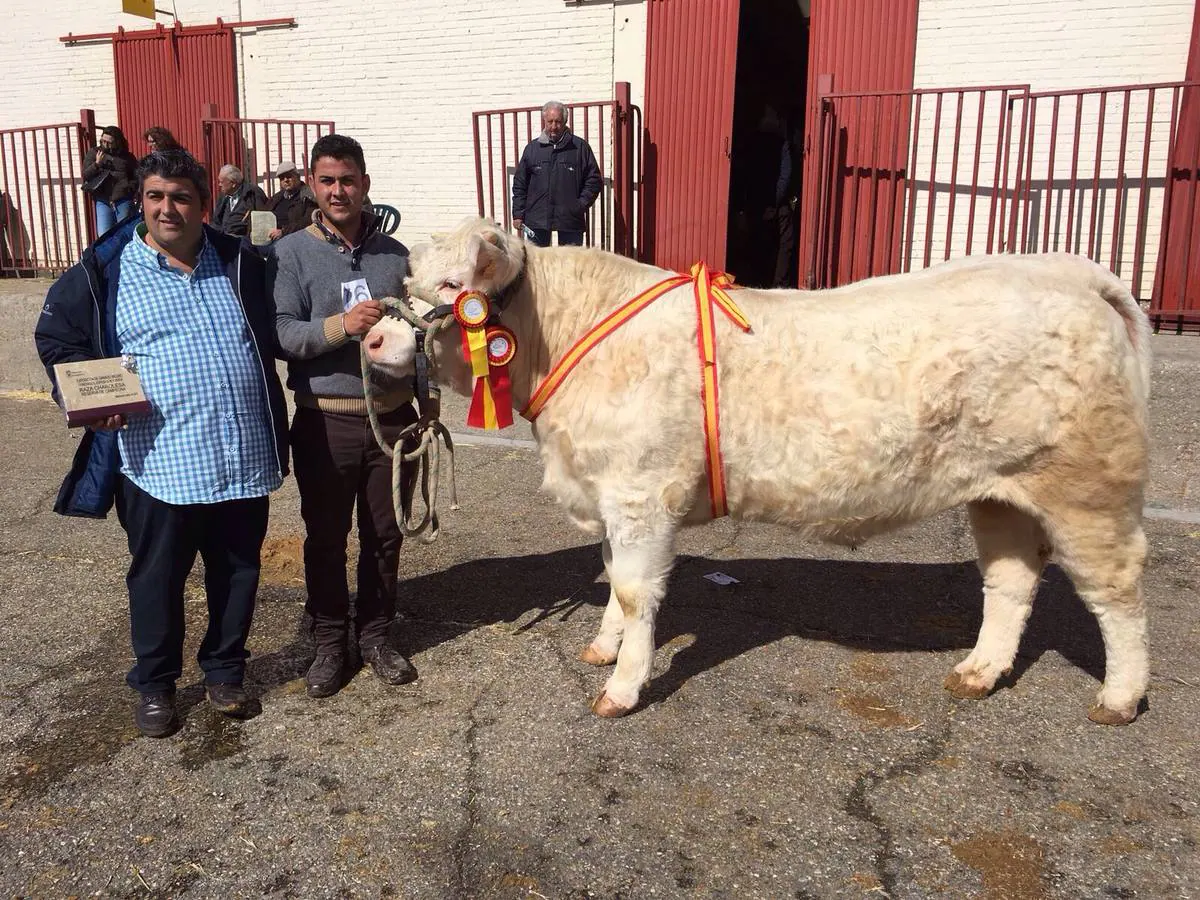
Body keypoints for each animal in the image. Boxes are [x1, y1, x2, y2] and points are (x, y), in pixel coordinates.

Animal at [367, 218, 1152, 724]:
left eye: (453, 284)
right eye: (408, 275)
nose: (372, 339)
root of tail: (1064, 269)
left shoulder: (641, 492)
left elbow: (635, 590)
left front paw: (623, 687)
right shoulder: (611, 491)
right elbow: (615, 579)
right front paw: (603, 650)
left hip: (1089, 490)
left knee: (1117, 595)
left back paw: (1119, 698)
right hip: (1002, 492)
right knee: (1011, 580)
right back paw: (980, 672)